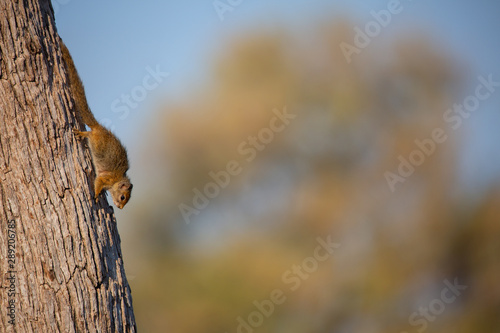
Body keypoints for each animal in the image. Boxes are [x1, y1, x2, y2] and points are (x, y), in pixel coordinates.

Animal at [60, 41, 133, 208]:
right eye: (123, 197)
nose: (120, 207)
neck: (116, 180)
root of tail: (99, 127)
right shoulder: (106, 178)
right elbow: (98, 182)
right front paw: (97, 193)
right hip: (95, 139)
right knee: (89, 134)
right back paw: (81, 133)